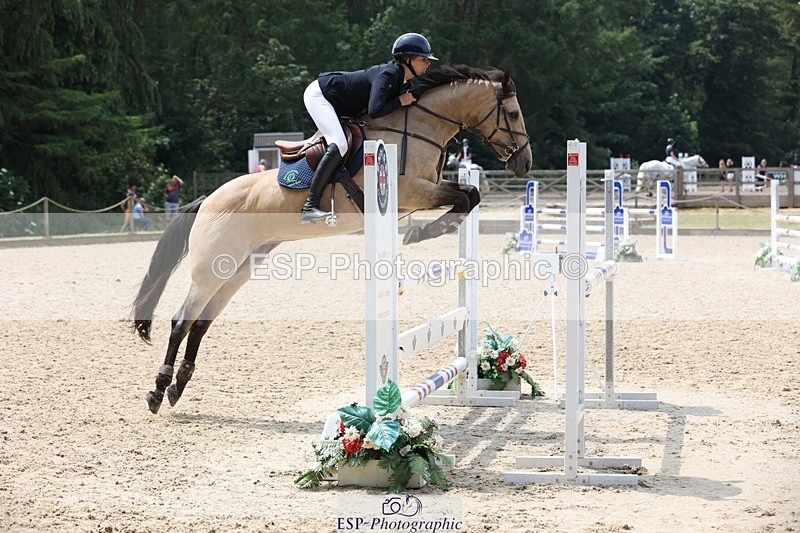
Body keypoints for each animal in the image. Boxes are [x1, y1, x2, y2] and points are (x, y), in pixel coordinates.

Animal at [131, 65, 533, 414]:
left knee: (200, 323)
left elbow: (469, 195)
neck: (418, 127)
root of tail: (207, 200)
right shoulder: (412, 191)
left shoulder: (422, 193)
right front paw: (423, 232)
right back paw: (158, 390)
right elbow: (464, 198)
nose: (525, 164)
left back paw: (178, 386)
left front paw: (427, 230)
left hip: (239, 267)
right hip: (211, 270)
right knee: (181, 321)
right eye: (513, 113)